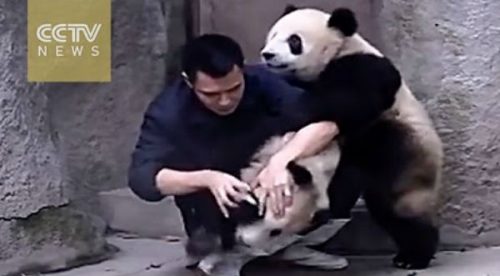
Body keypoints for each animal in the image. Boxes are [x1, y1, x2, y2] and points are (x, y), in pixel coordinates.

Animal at [258, 5, 446, 270]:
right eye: (273, 35)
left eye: (294, 41)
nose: (268, 54)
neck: (339, 48)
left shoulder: (365, 69)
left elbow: (336, 103)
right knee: (386, 209)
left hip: (404, 147)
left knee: (399, 203)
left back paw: (415, 256)